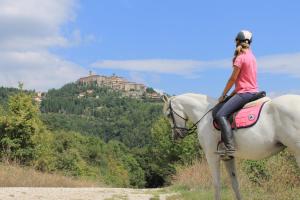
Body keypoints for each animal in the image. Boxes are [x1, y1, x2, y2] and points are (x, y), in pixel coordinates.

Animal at [163, 94, 300, 200]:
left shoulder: (212, 156)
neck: (204, 116)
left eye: (169, 115)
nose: (176, 135)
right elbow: (235, 183)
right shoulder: (228, 157)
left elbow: (217, 184)